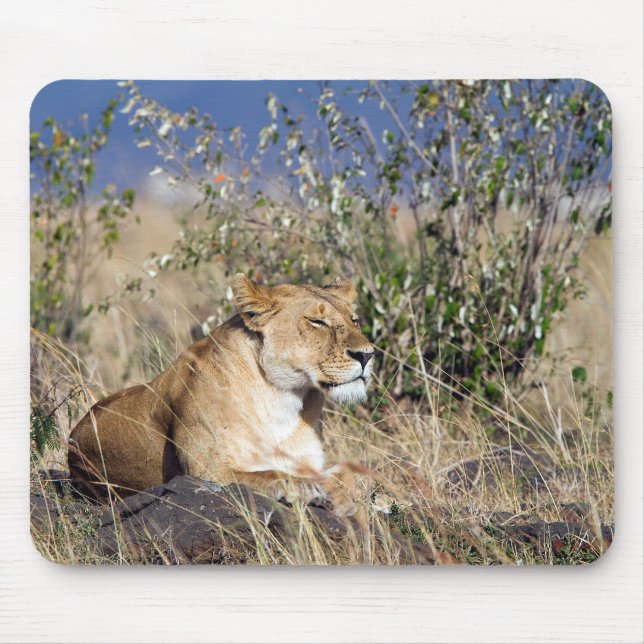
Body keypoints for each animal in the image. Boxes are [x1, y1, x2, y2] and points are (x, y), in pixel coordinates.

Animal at [67, 274, 374, 516]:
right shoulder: (206, 473)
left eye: (354, 320)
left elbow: (354, 474)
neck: (282, 397)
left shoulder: (310, 461)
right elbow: (271, 475)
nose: (367, 355)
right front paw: (310, 490)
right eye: (317, 321)